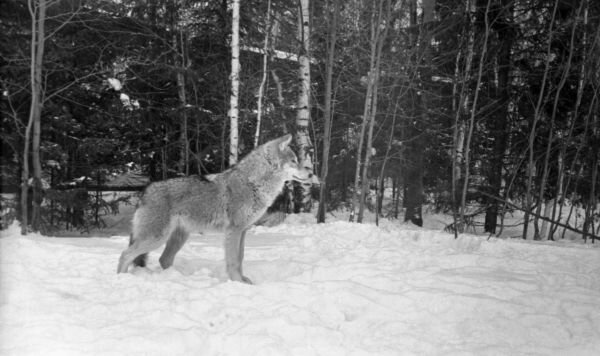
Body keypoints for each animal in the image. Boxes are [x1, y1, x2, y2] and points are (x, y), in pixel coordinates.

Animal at [118, 134, 314, 284]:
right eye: (294, 161)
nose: (311, 173)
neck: (254, 183)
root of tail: (145, 192)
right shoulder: (234, 231)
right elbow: (233, 261)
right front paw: (237, 283)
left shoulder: (243, 231)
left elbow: (240, 258)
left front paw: (243, 280)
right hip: (157, 238)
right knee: (125, 254)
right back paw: (121, 279)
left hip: (178, 237)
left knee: (163, 259)